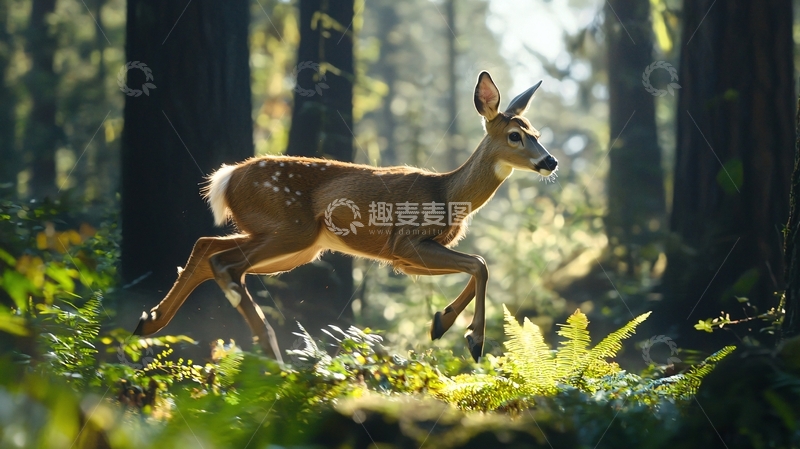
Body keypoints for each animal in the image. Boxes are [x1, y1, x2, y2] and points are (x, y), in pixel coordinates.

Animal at [134, 71, 558, 363]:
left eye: (536, 132)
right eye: (516, 136)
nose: (550, 161)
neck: (447, 194)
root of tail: (225, 178)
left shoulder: (405, 259)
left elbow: (475, 266)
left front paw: (441, 322)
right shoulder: (405, 242)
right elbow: (480, 263)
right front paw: (472, 338)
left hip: (290, 243)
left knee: (207, 246)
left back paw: (148, 323)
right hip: (292, 230)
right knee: (224, 262)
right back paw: (273, 355)